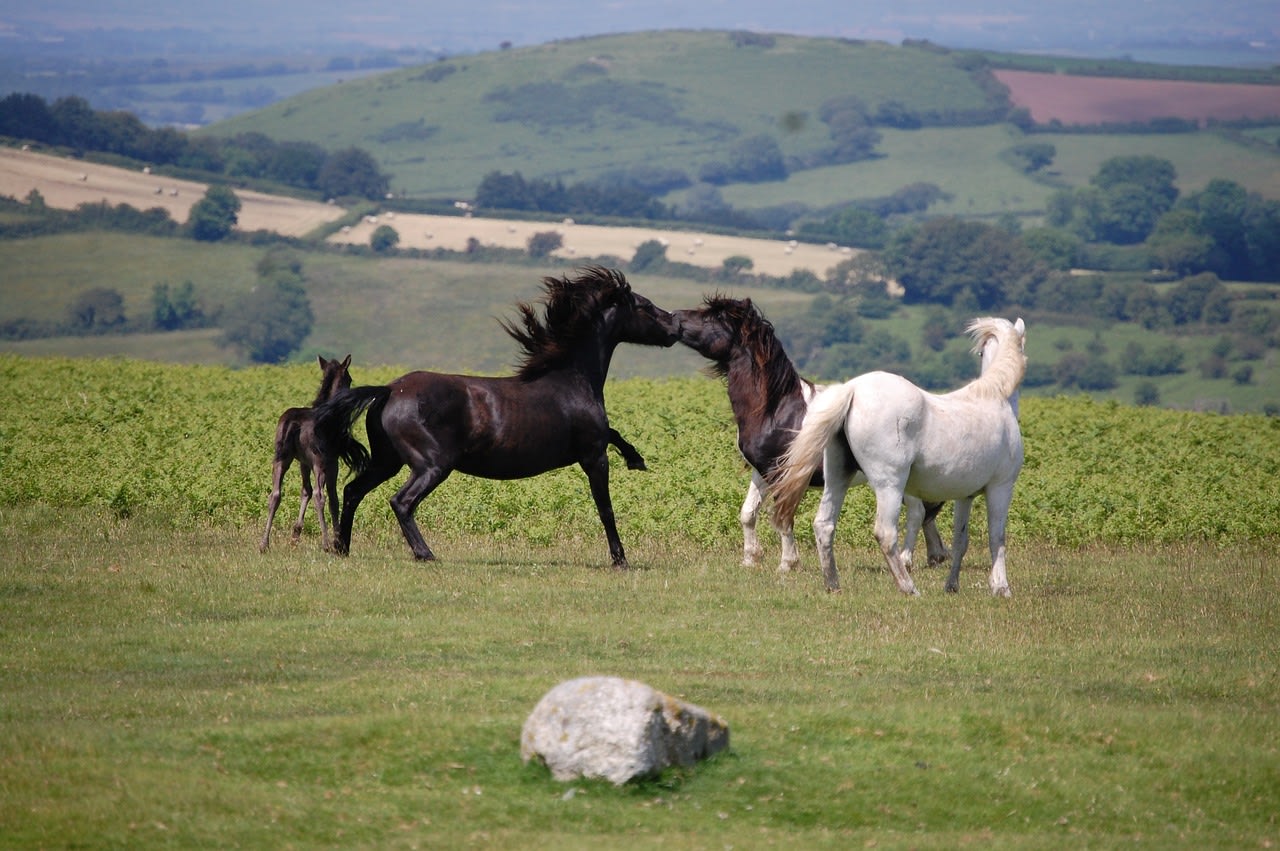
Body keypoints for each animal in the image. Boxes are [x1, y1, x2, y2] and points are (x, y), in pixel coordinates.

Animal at [259, 354, 367, 552]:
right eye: (349, 378)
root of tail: (294, 422)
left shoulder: (303, 462)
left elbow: (305, 491)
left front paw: (295, 534)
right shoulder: (331, 462)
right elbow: (333, 499)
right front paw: (337, 538)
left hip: (281, 459)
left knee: (275, 494)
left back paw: (264, 543)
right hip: (319, 462)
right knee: (320, 495)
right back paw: (325, 543)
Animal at [312, 266, 681, 568]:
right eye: (645, 306)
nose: (676, 326)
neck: (572, 379)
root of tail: (389, 390)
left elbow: (615, 435)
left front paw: (637, 459)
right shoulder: (593, 456)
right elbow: (606, 508)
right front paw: (621, 560)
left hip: (387, 460)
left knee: (352, 491)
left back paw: (342, 548)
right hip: (431, 464)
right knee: (401, 502)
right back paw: (425, 554)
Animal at [672, 295, 949, 573]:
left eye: (714, 317)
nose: (674, 316)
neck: (778, 410)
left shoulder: (783, 474)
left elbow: (783, 518)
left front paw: (787, 564)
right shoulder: (762, 471)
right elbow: (748, 513)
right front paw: (750, 559)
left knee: (916, 513)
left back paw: (906, 560)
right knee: (926, 512)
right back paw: (935, 555)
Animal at [770, 317, 1026, 597]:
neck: (994, 397)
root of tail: (853, 389)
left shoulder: (964, 496)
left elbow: (961, 540)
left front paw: (952, 586)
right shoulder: (1001, 488)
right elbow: (996, 538)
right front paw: (1001, 587)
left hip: (838, 477)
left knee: (824, 525)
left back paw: (833, 585)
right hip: (889, 485)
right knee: (885, 533)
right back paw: (909, 587)